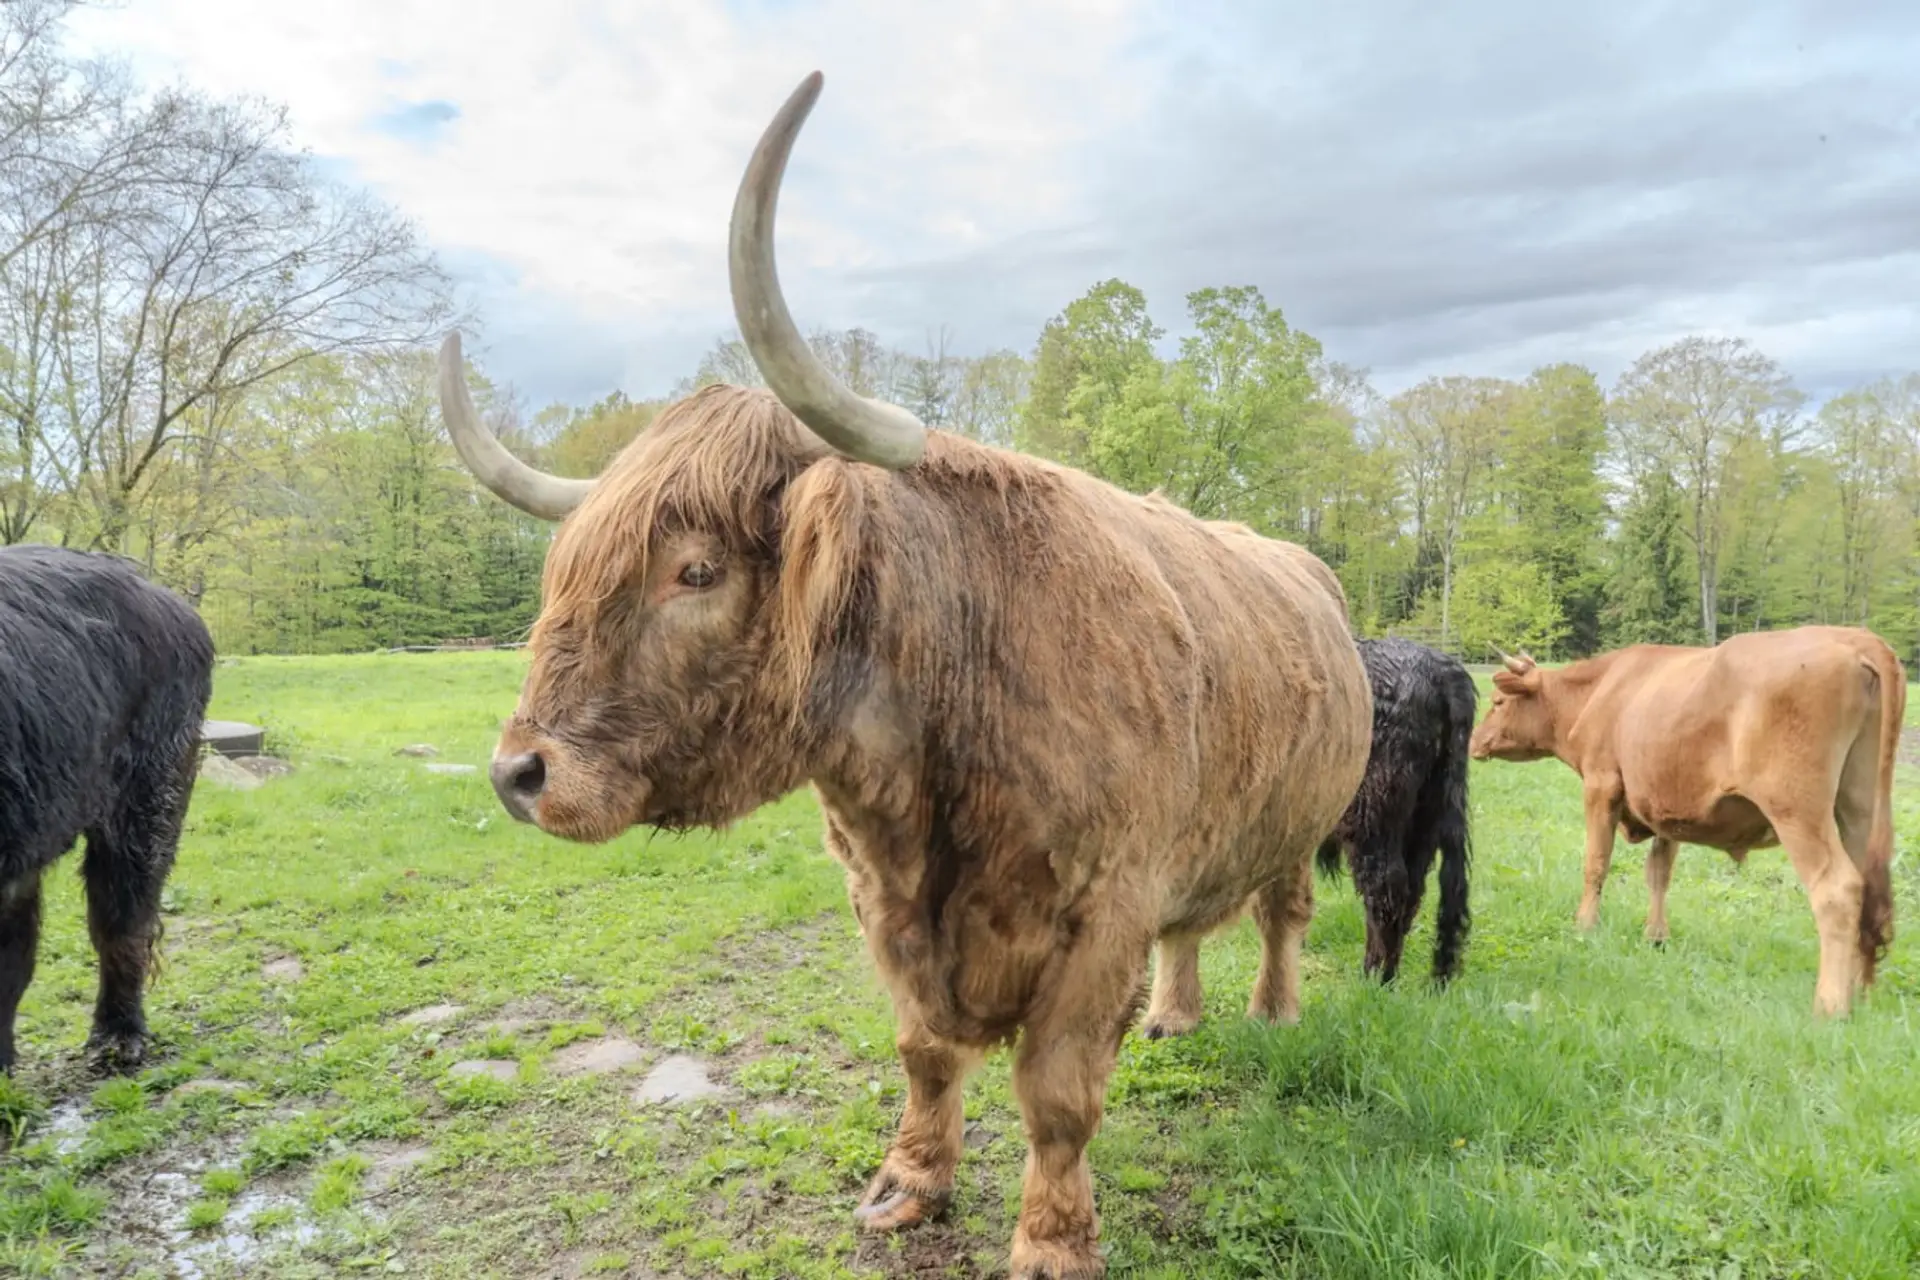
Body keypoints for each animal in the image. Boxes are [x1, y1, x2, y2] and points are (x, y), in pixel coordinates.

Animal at [435, 72, 1372, 1279]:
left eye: (695, 568)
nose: (518, 773)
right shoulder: (883, 902)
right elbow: (925, 1049)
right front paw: (909, 1184)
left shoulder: (1102, 912)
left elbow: (1057, 1094)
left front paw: (1052, 1240)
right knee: (1193, 926)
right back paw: (1174, 1014)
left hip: (1303, 820)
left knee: (1281, 914)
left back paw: (1274, 1011)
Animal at [1311, 637, 1476, 986]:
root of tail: (1442, 671)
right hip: (1427, 815)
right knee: (1414, 892)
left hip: (1373, 817)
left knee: (1386, 888)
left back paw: (1374, 977)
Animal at [1467, 626, 1903, 1018]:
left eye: (1498, 701)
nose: (1473, 742)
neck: (1602, 689)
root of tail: (1855, 638)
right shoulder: (1665, 805)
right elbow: (1659, 872)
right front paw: (1655, 936)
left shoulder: (1601, 783)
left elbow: (1596, 863)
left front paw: (1584, 926)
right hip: (1857, 808)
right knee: (1867, 891)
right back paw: (1856, 991)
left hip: (1797, 808)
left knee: (1837, 889)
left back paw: (1831, 1005)